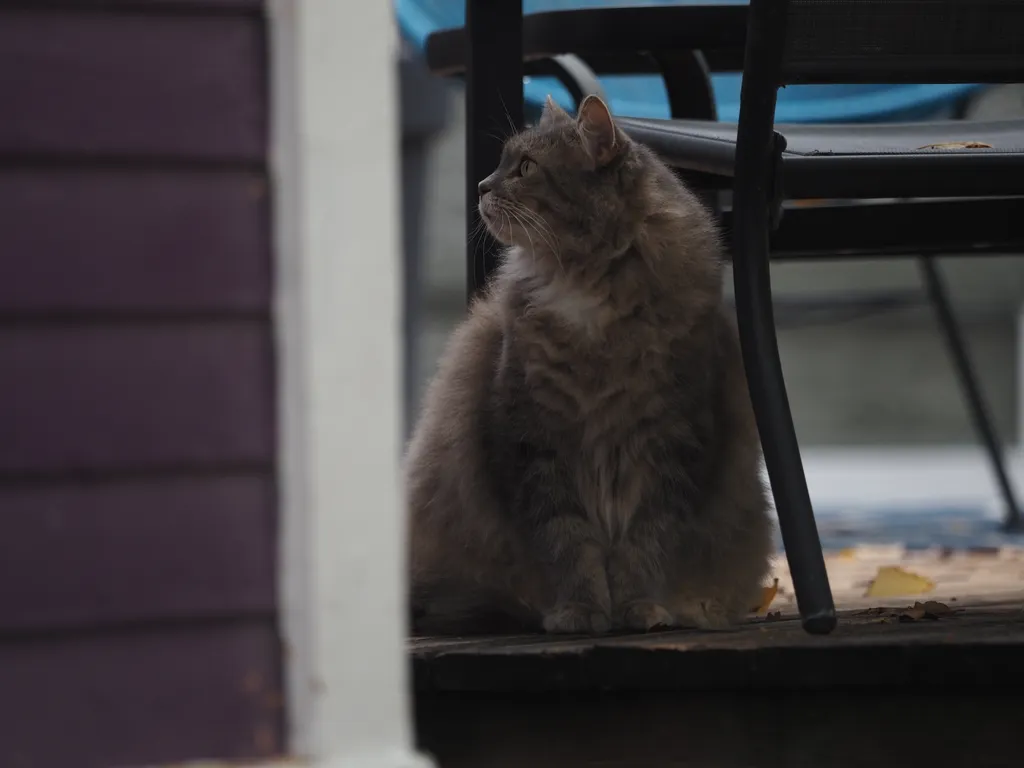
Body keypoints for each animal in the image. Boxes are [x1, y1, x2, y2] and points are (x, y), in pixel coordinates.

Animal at [403, 94, 770, 638]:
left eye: (526, 168)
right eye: (501, 163)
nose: (482, 186)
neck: (590, 289)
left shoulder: (672, 441)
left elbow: (645, 542)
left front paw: (639, 609)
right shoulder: (533, 443)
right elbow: (568, 544)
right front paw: (581, 612)